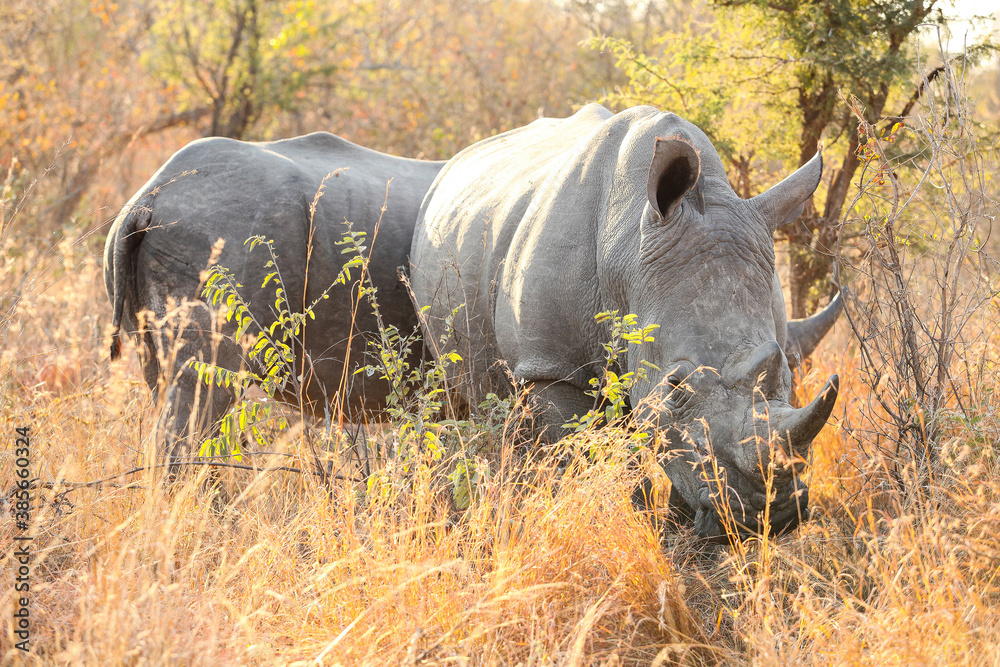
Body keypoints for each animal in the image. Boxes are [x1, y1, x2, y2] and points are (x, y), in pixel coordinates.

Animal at [410, 104, 842, 539]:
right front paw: (623, 520)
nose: (767, 517)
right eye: (675, 386)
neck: (629, 254)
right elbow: (580, 457)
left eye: (786, 375)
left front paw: (685, 534)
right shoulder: (551, 366)